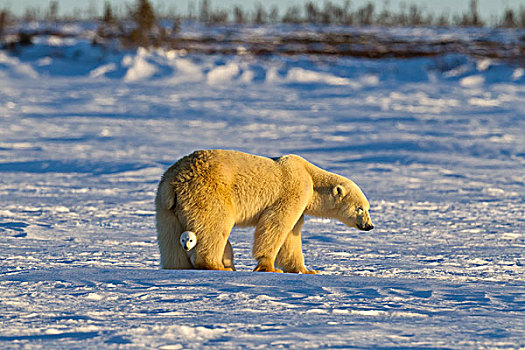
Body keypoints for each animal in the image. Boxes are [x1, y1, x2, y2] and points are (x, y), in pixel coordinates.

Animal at [156, 149, 372, 272]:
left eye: (367, 208)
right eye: (360, 208)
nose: (369, 226)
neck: (310, 176)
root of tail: (175, 179)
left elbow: (292, 236)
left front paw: (306, 270)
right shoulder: (293, 191)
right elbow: (275, 224)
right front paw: (269, 267)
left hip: (166, 204)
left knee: (169, 236)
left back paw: (177, 266)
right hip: (209, 192)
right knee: (215, 225)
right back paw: (217, 266)